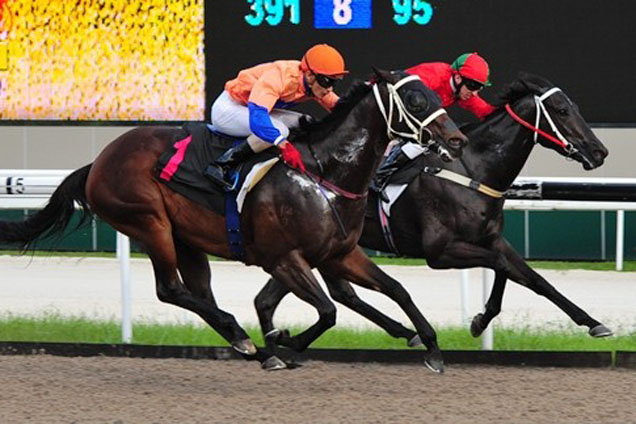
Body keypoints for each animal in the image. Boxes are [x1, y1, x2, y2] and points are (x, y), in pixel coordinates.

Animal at [0, 69, 468, 372]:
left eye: (434, 94)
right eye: (416, 100)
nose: (457, 138)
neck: (324, 172)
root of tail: (97, 162)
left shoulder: (339, 254)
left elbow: (396, 289)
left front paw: (430, 345)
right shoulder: (285, 258)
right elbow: (328, 311)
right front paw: (286, 340)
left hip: (186, 239)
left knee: (197, 291)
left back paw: (250, 344)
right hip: (149, 222)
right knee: (170, 289)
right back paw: (249, 339)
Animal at [256, 72, 612, 354]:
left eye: (576, 107)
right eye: (561, 110)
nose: (600, 152)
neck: (474, 170)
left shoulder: (491, 238)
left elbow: (532, 278)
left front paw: (593, 323)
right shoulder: (439, 252)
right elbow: (502, 266)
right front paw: (479, 321)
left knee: (321, 295)